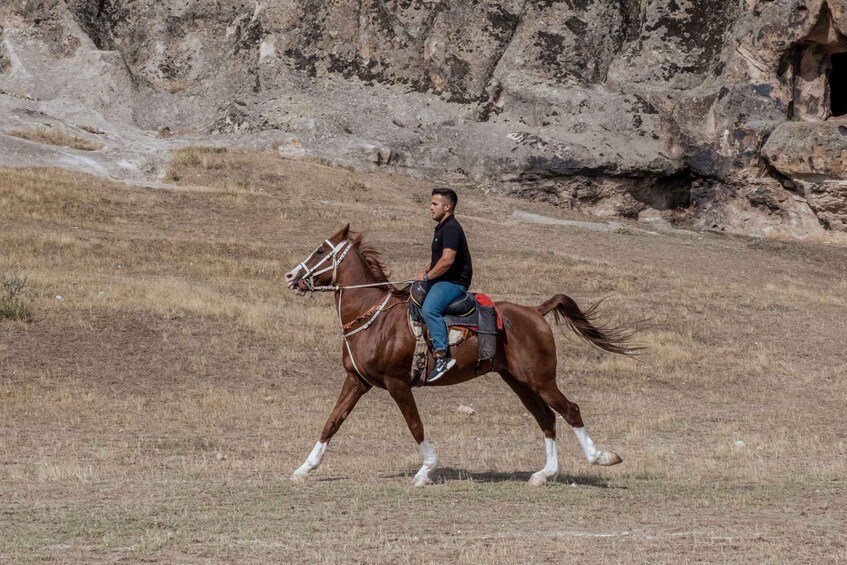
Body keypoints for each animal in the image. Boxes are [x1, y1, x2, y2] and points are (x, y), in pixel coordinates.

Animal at [284, 224, 638, 487]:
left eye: (320, 251)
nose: (290, 276)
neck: (375, 317)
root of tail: (535, 312)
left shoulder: (397, 383)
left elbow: (415, 425)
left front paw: (426, 470)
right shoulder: (357, 380)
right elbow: (332, 422)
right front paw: (304, 468)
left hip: (540, 379)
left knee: (570, 410)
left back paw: (601, 457)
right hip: (519, 382)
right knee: (547, 417)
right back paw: (544, 474)